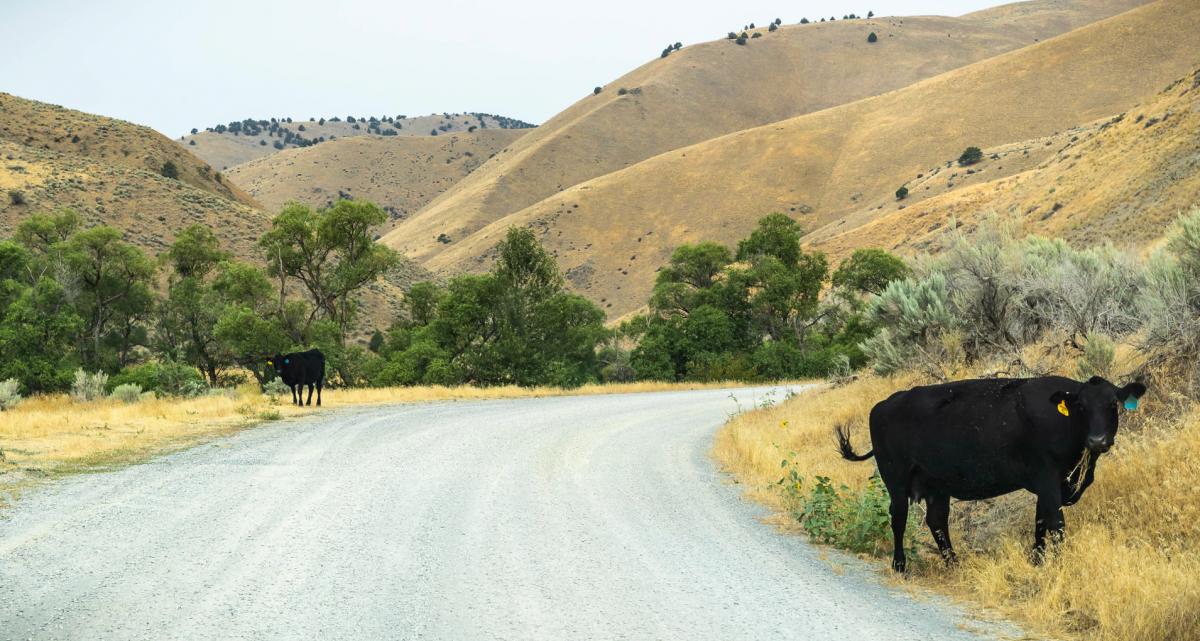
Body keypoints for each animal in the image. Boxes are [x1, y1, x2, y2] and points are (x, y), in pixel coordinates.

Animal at [840, 376, 1147, 573]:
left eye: (1112, 405)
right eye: (1081, 407)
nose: (1097, 440)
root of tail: (885, 403)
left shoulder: (1050, 486)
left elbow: (1039, 523)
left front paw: (1037, 561)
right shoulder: (1048, 479)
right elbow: (1056, 524)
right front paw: (1059, 565)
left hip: (936, 485)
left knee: (936, 520)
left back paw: (954, 563)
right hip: (895, 478)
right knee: (899, 518)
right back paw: (900, 565)